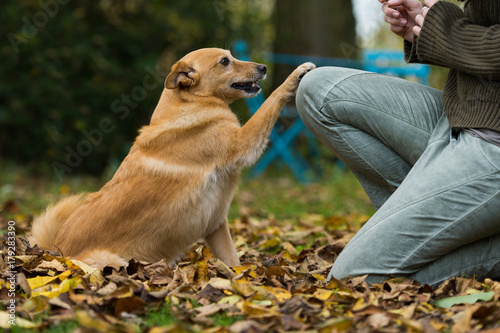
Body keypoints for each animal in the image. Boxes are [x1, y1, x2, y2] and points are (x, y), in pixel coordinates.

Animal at [27, 48, 314, 268]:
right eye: (224, 61)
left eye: (231, 56)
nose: (264, 67)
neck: (191, 103)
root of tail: (56, 253)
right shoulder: (242, 143)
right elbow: (272, 100)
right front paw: (296, 75)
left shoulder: (216, 223)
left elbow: (234, 264)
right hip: (113, 262)